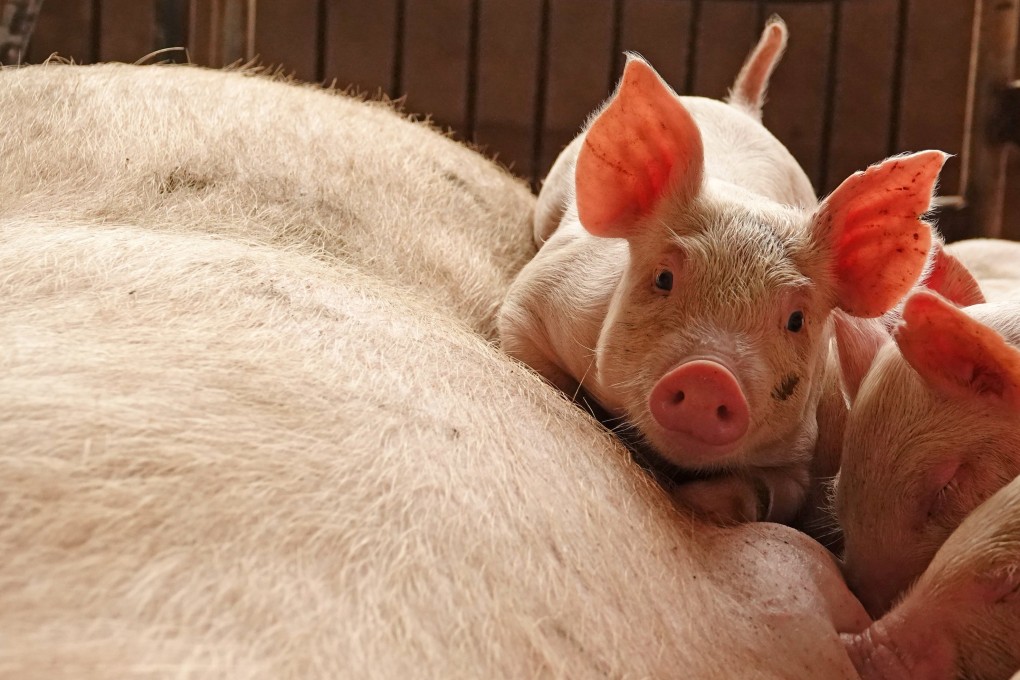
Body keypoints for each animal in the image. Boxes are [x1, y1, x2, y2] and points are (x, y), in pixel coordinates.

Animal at [499, 17, 947, 524]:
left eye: (797, 320)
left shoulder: (798, 452)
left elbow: (775, 491)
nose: (708, 375)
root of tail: (742, 108)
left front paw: (704, 502)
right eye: (664, 278)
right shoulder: (537, 299)